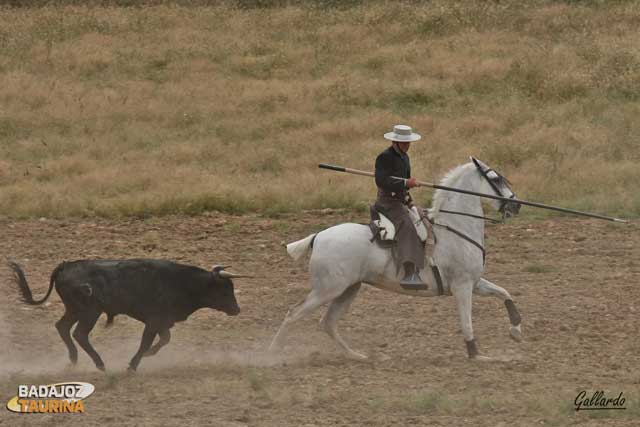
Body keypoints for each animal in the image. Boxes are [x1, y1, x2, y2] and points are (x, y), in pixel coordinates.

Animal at [8, 260, 240, 372]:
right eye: (225, 290)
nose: (237, 309)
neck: (183, 282)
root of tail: (65, 266)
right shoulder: (154, 321)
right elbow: (146, 342)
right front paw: (132, 365)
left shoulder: (162, 322)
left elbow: (164, 339)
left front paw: (147, 356)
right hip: (89, 312)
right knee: (79, 334)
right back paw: (99, 364)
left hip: (75, 310)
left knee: (62, 327)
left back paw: (73, 360)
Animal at [270, 158, 524, 362]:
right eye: (496, 179)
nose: (516, 205)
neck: (455, 227)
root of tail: (318, 236)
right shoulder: (462, 286)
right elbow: (467, 322)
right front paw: (477, 355)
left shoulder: (475, 282)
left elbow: (505, 294)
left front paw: (516, 331)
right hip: (327, 290)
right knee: (294, 314)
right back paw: (272, 354)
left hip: (348, 288)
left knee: (327, 322)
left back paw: (357, 356)